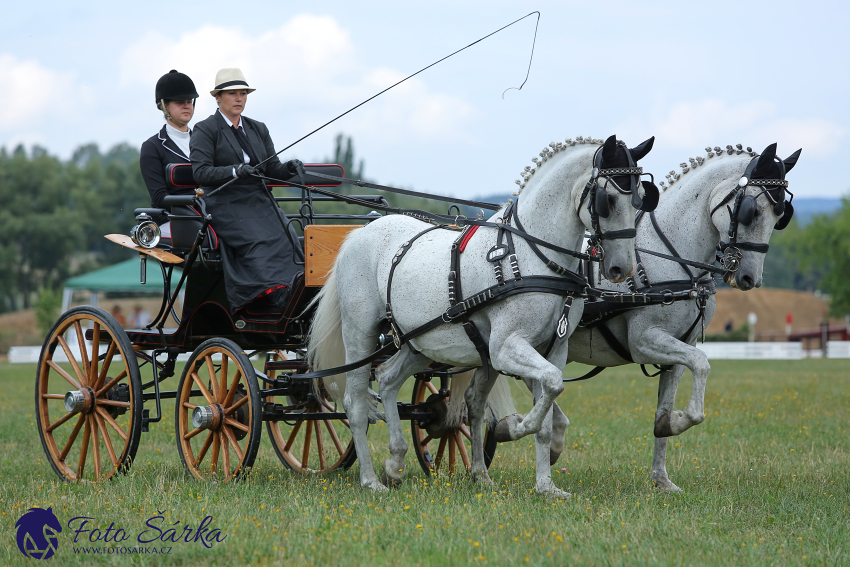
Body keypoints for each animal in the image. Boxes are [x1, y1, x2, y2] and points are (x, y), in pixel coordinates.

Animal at [308, 133, 652, 492]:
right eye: (607, 199)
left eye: (643, 198)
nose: (622, 268)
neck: (533, 255)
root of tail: (359, 233)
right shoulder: (504, 347)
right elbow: (549, 389)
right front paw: (513, 428)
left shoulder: (554, 349)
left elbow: (550, 400)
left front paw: (546, 485)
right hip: (359, 335)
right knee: (355, 403)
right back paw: (370, 479)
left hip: (421, 342)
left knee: (388, 379)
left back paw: (395, 463)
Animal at [484, 144, 800, 494]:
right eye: (751, 211)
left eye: (781, 215)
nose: (748, 278)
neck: (673, 256)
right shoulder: (645, 340)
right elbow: (702, 363)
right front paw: (679, 421)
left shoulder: (680, 347)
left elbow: (667, 406)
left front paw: (663, 472)